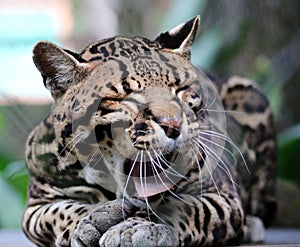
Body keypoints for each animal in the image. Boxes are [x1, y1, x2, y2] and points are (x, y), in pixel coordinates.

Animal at [22, 16, 276, 246]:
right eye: (127, 98)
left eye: (180, 89)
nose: (173, 124)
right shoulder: (35, 206)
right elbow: (61, 212)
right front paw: (93, 219)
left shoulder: (221, 194)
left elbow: (182, 207)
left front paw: (138, 227)